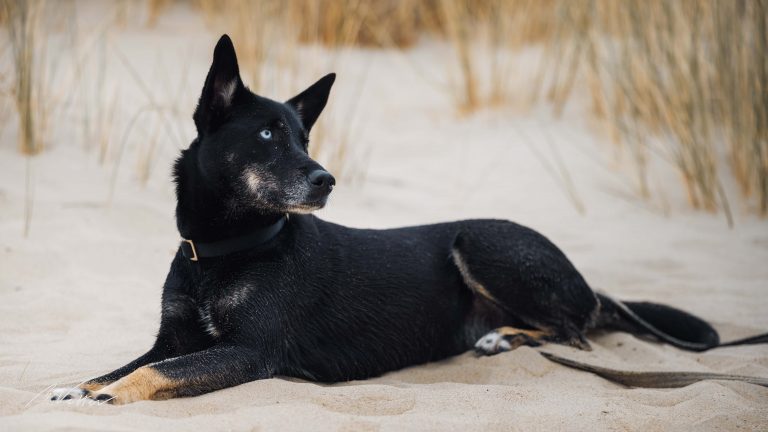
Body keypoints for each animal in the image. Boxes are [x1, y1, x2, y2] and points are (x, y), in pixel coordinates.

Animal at [52, 35, 736, 404]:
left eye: (304, 137)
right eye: (270, 135)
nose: (326, 179)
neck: (227, 249)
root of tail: (586, 279)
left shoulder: (250, 351)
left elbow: (153, 372)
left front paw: (108, 394)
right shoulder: (174, 338)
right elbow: (133, 361)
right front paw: (81, 385)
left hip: (480, 239)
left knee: (576, 328)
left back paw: (504, 337)